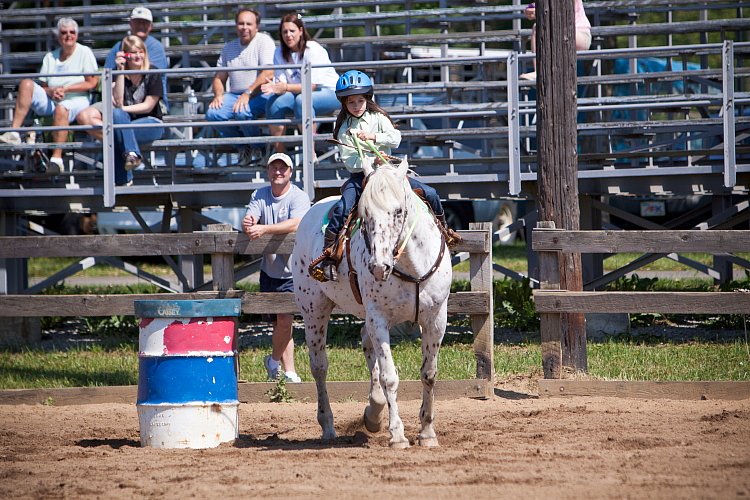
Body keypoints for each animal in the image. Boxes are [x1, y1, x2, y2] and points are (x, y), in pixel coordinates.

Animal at [292, 157, 452, 450]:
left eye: (399, 211)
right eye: (364, 216)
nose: (378, 267)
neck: (409, 265)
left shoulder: (436, 318)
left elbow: (429, 373)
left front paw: (427, 432)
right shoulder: (379, 318)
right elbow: (390, 376)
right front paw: (398, 435)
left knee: (366, 343)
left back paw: (374, 413)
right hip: (313, 310)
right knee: (319, 366)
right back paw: (328, 426)